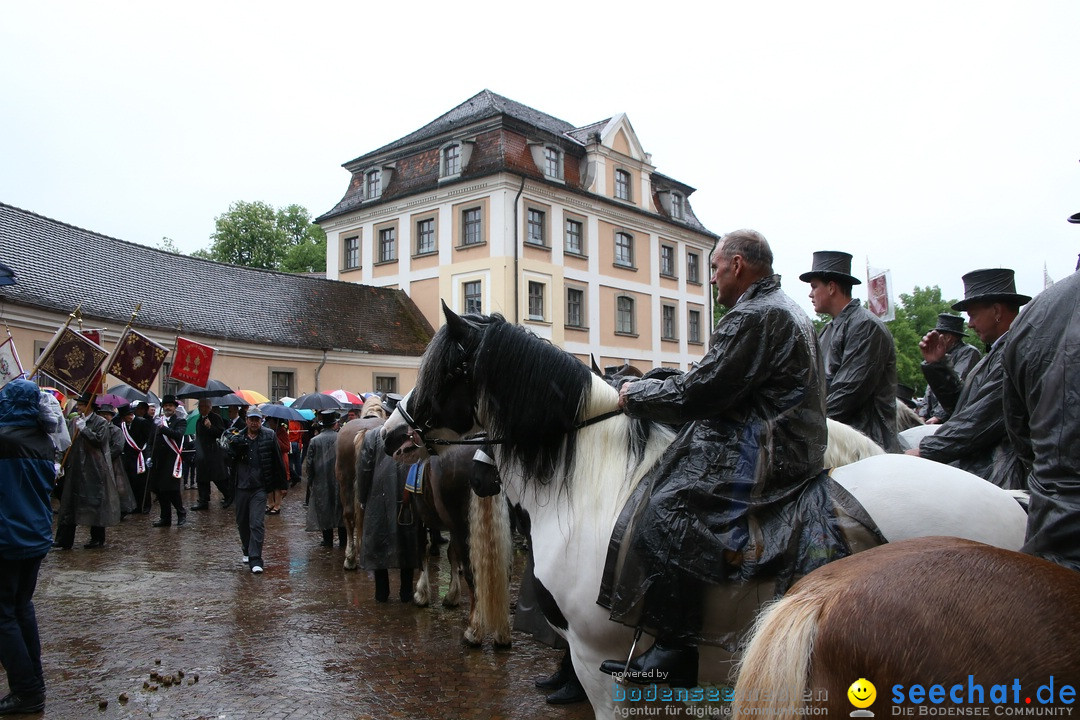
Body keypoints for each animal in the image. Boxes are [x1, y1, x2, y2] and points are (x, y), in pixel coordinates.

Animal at [406, 442, 514, 651]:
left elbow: (422, 551)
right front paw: (452, 595)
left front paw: (422, 594)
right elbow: (451, 554)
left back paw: (473, 632)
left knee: (473, 576)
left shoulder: (419, 517)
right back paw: (502, 634)